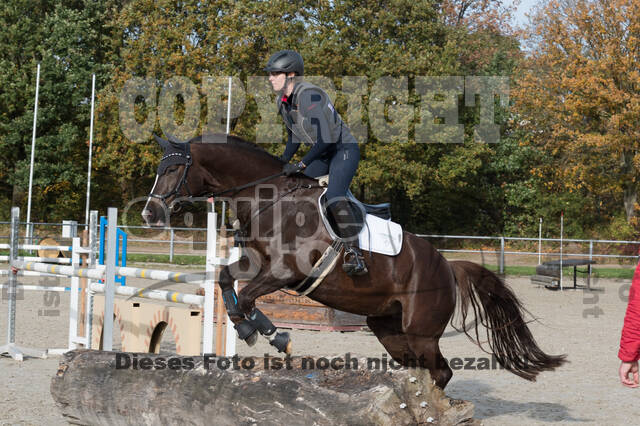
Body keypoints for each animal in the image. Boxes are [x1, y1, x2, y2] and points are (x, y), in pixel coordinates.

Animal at [141, 134, 564, 390]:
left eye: (174, 169)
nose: (148, 214)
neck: (270, 198)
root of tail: (447, 266)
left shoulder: (284, 271)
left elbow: (245, 297)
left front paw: (269, 334)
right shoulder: (256, 265)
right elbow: (228, 282)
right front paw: (254, 330)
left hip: (422, 331)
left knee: (441, 371)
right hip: (389, 330)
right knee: (421, 370)